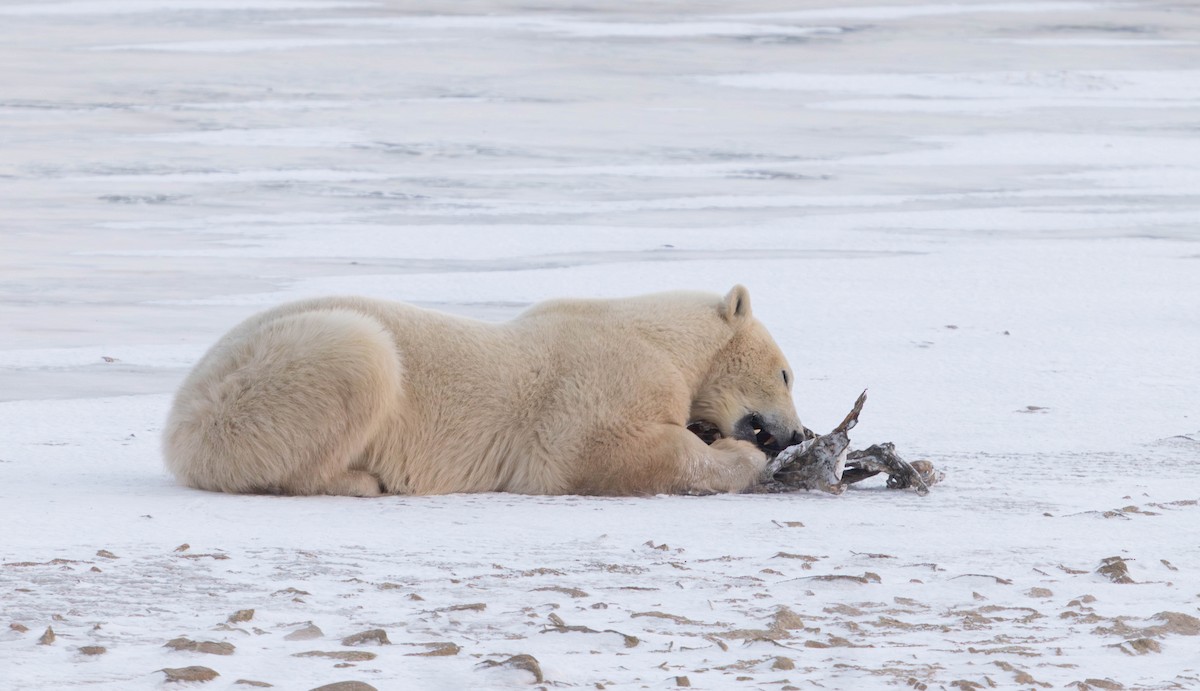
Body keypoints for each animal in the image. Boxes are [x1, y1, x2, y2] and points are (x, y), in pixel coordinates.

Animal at [163, 285, 807, 497]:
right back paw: (359, 480)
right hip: (259, 386)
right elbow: (594, 452)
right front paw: (736, 455)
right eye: (785, 373)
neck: (660, 335)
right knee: (361, 353)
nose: (797, 432)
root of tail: (176, 427)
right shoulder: (600, 377)